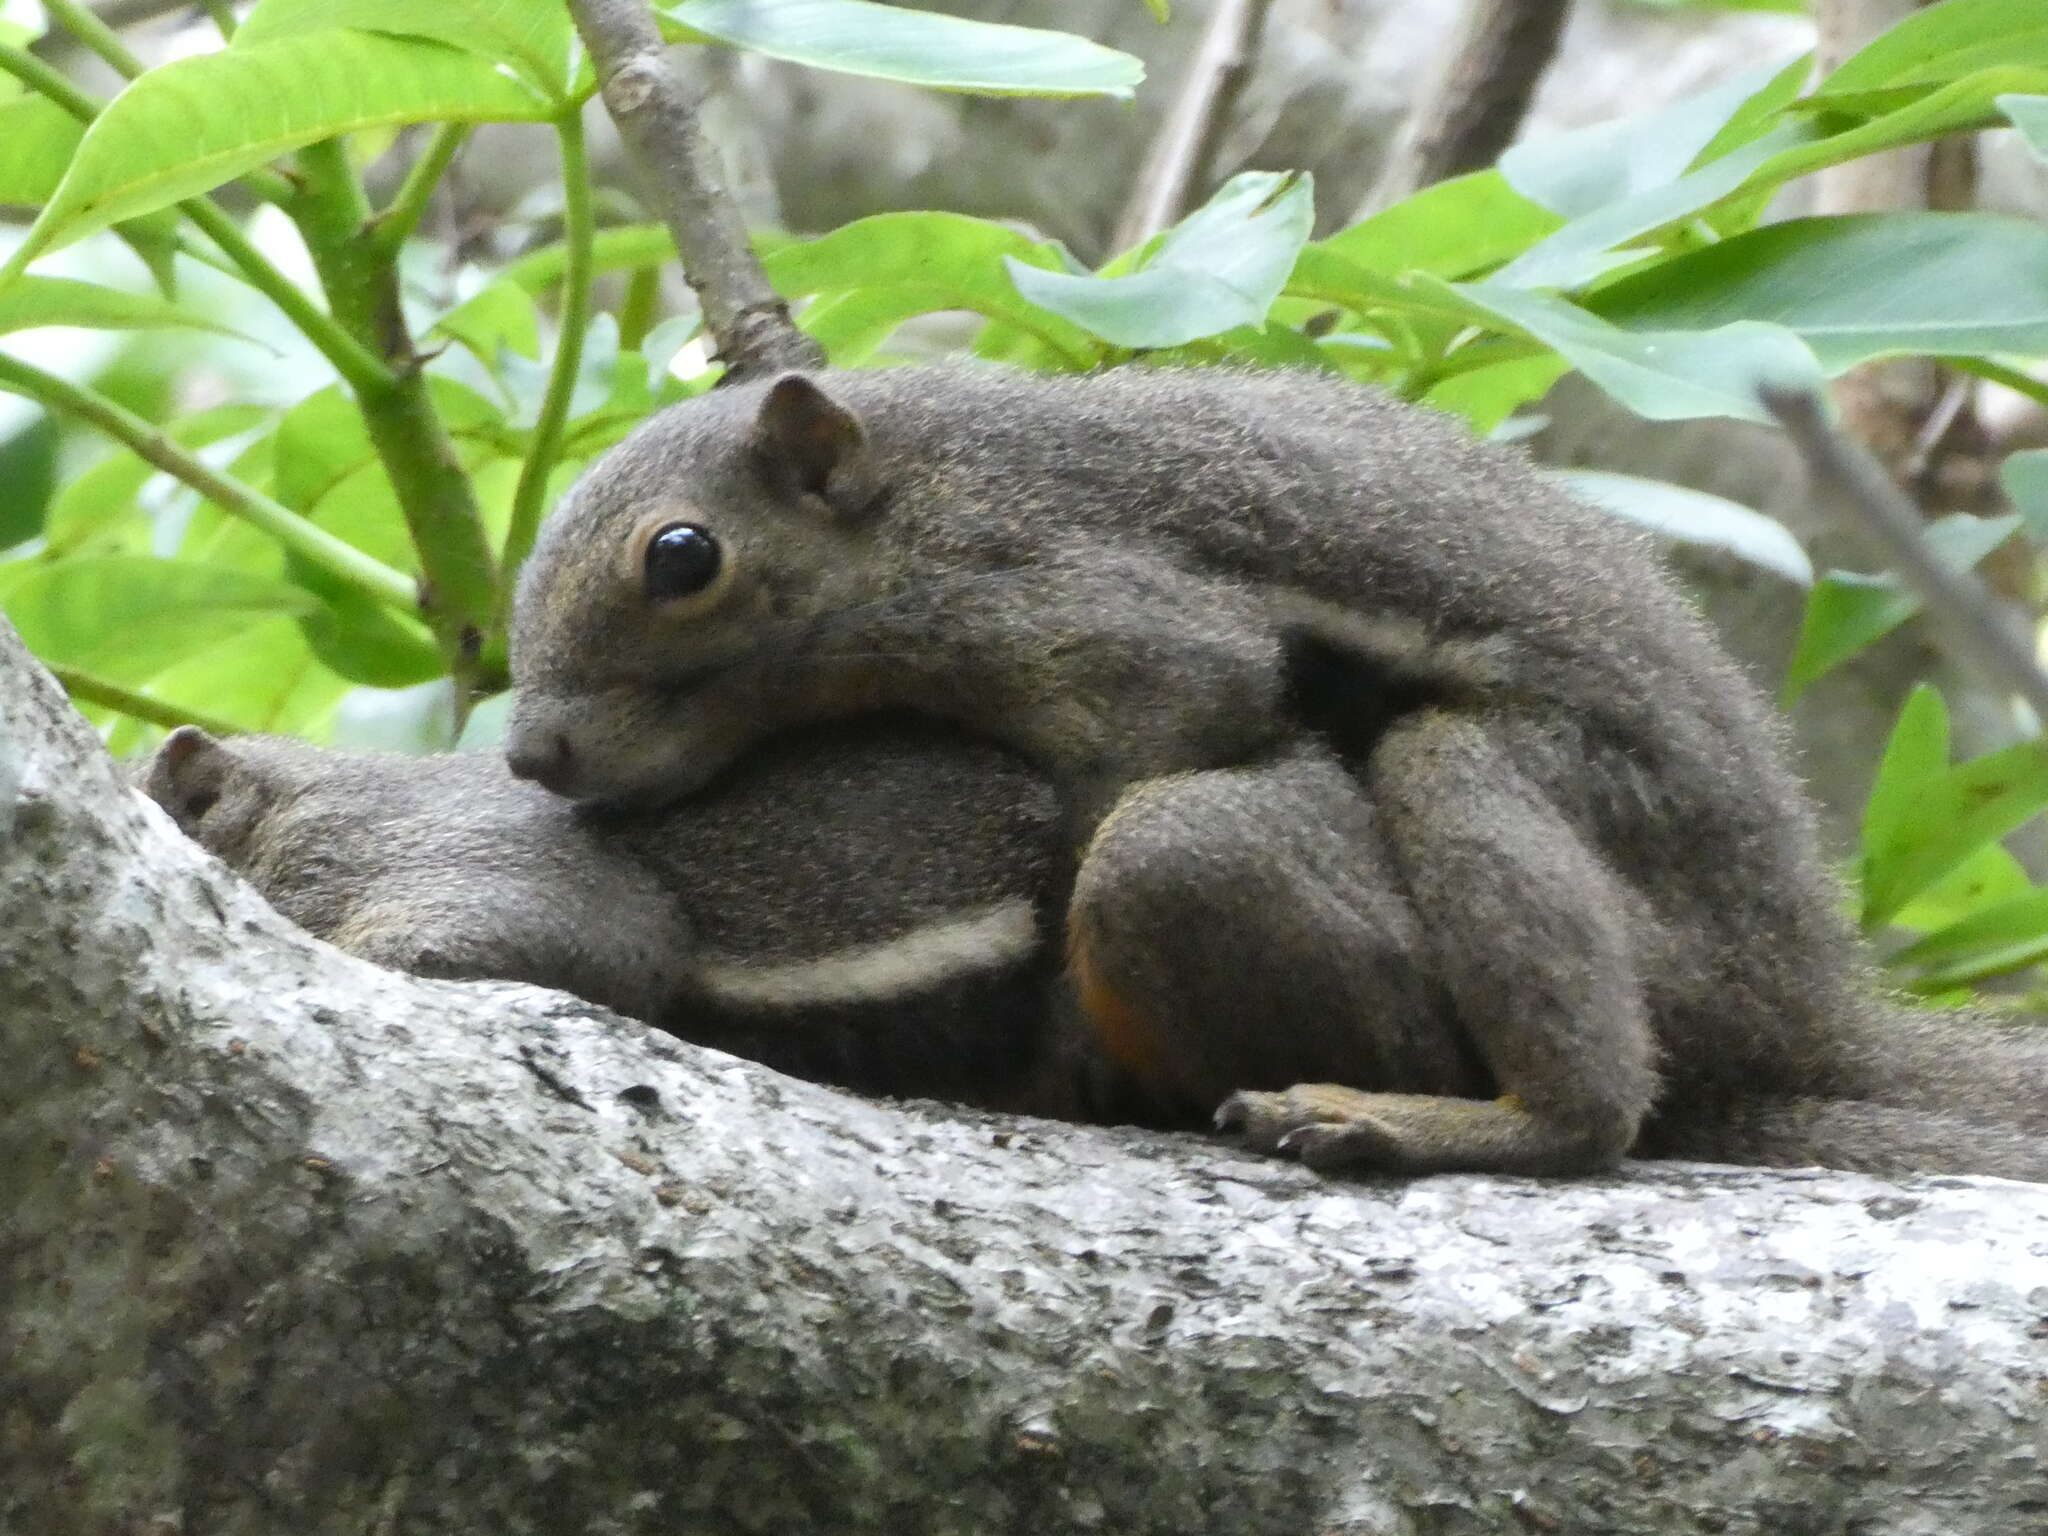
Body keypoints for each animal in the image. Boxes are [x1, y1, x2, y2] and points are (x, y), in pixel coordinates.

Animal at [499, 366, 2048, 1187]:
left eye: (682, 557)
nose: (530, 750)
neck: (917, 498)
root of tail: (1799, 1004)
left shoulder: (1075, 604)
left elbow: (1189, 714)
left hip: (1564, 855)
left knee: (1593, 1101)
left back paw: (1447, 1117)